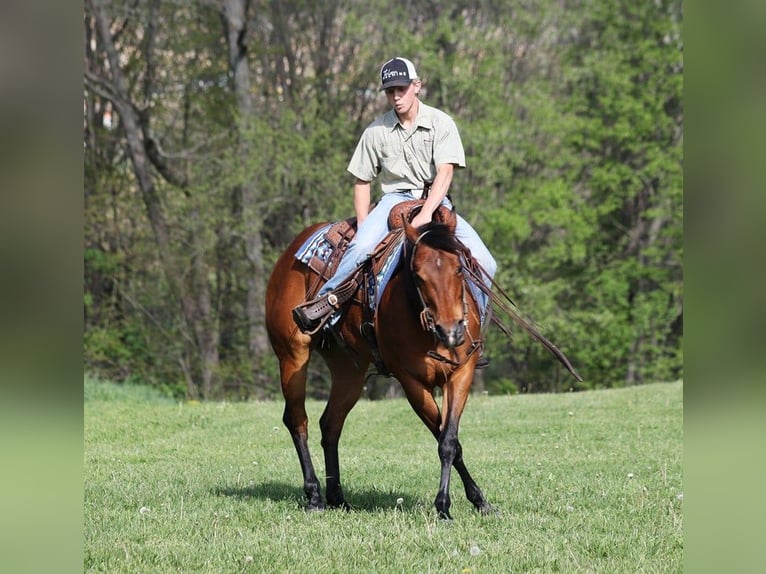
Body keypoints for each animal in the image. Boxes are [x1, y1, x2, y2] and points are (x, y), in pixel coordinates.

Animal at [264, 208, 492, 520]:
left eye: (459, 268)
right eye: (418, 275)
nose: (451, 330)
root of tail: (289, 253)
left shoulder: (461, 374)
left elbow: (449, 441)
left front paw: (478, 501)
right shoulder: (411, 382)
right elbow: (445, 440)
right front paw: (444, 507)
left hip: (349, 371)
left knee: (330, 424)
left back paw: (338, 498)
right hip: (292, 357)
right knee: (298, 421)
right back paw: (314, 496)